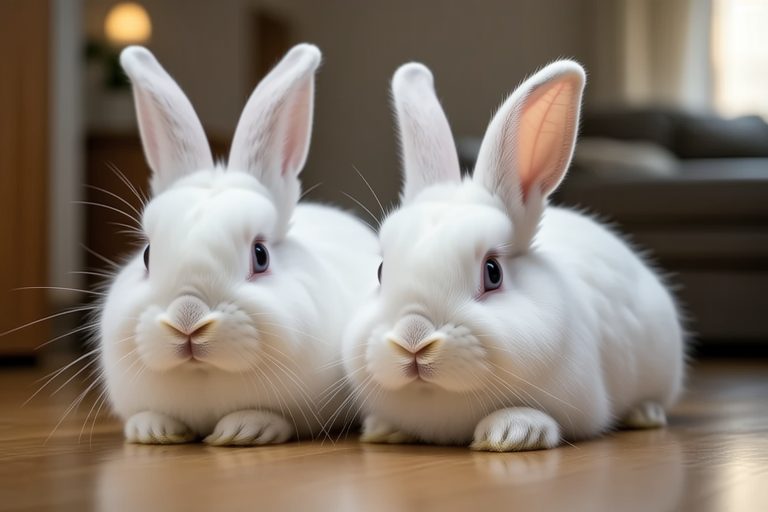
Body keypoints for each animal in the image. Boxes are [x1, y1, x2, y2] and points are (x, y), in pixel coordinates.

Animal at [98, 44, 379, 446]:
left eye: (260, 256)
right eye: (148, 255)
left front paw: (243, 430)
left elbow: (274, 417)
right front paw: (153, 430)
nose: (187, 320)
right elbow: (150, 415)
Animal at [340, 60, 685, 452]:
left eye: (493, 272)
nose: (412, 339)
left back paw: (645, 415)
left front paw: (512, 432)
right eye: (381, 272)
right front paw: (383, 430)